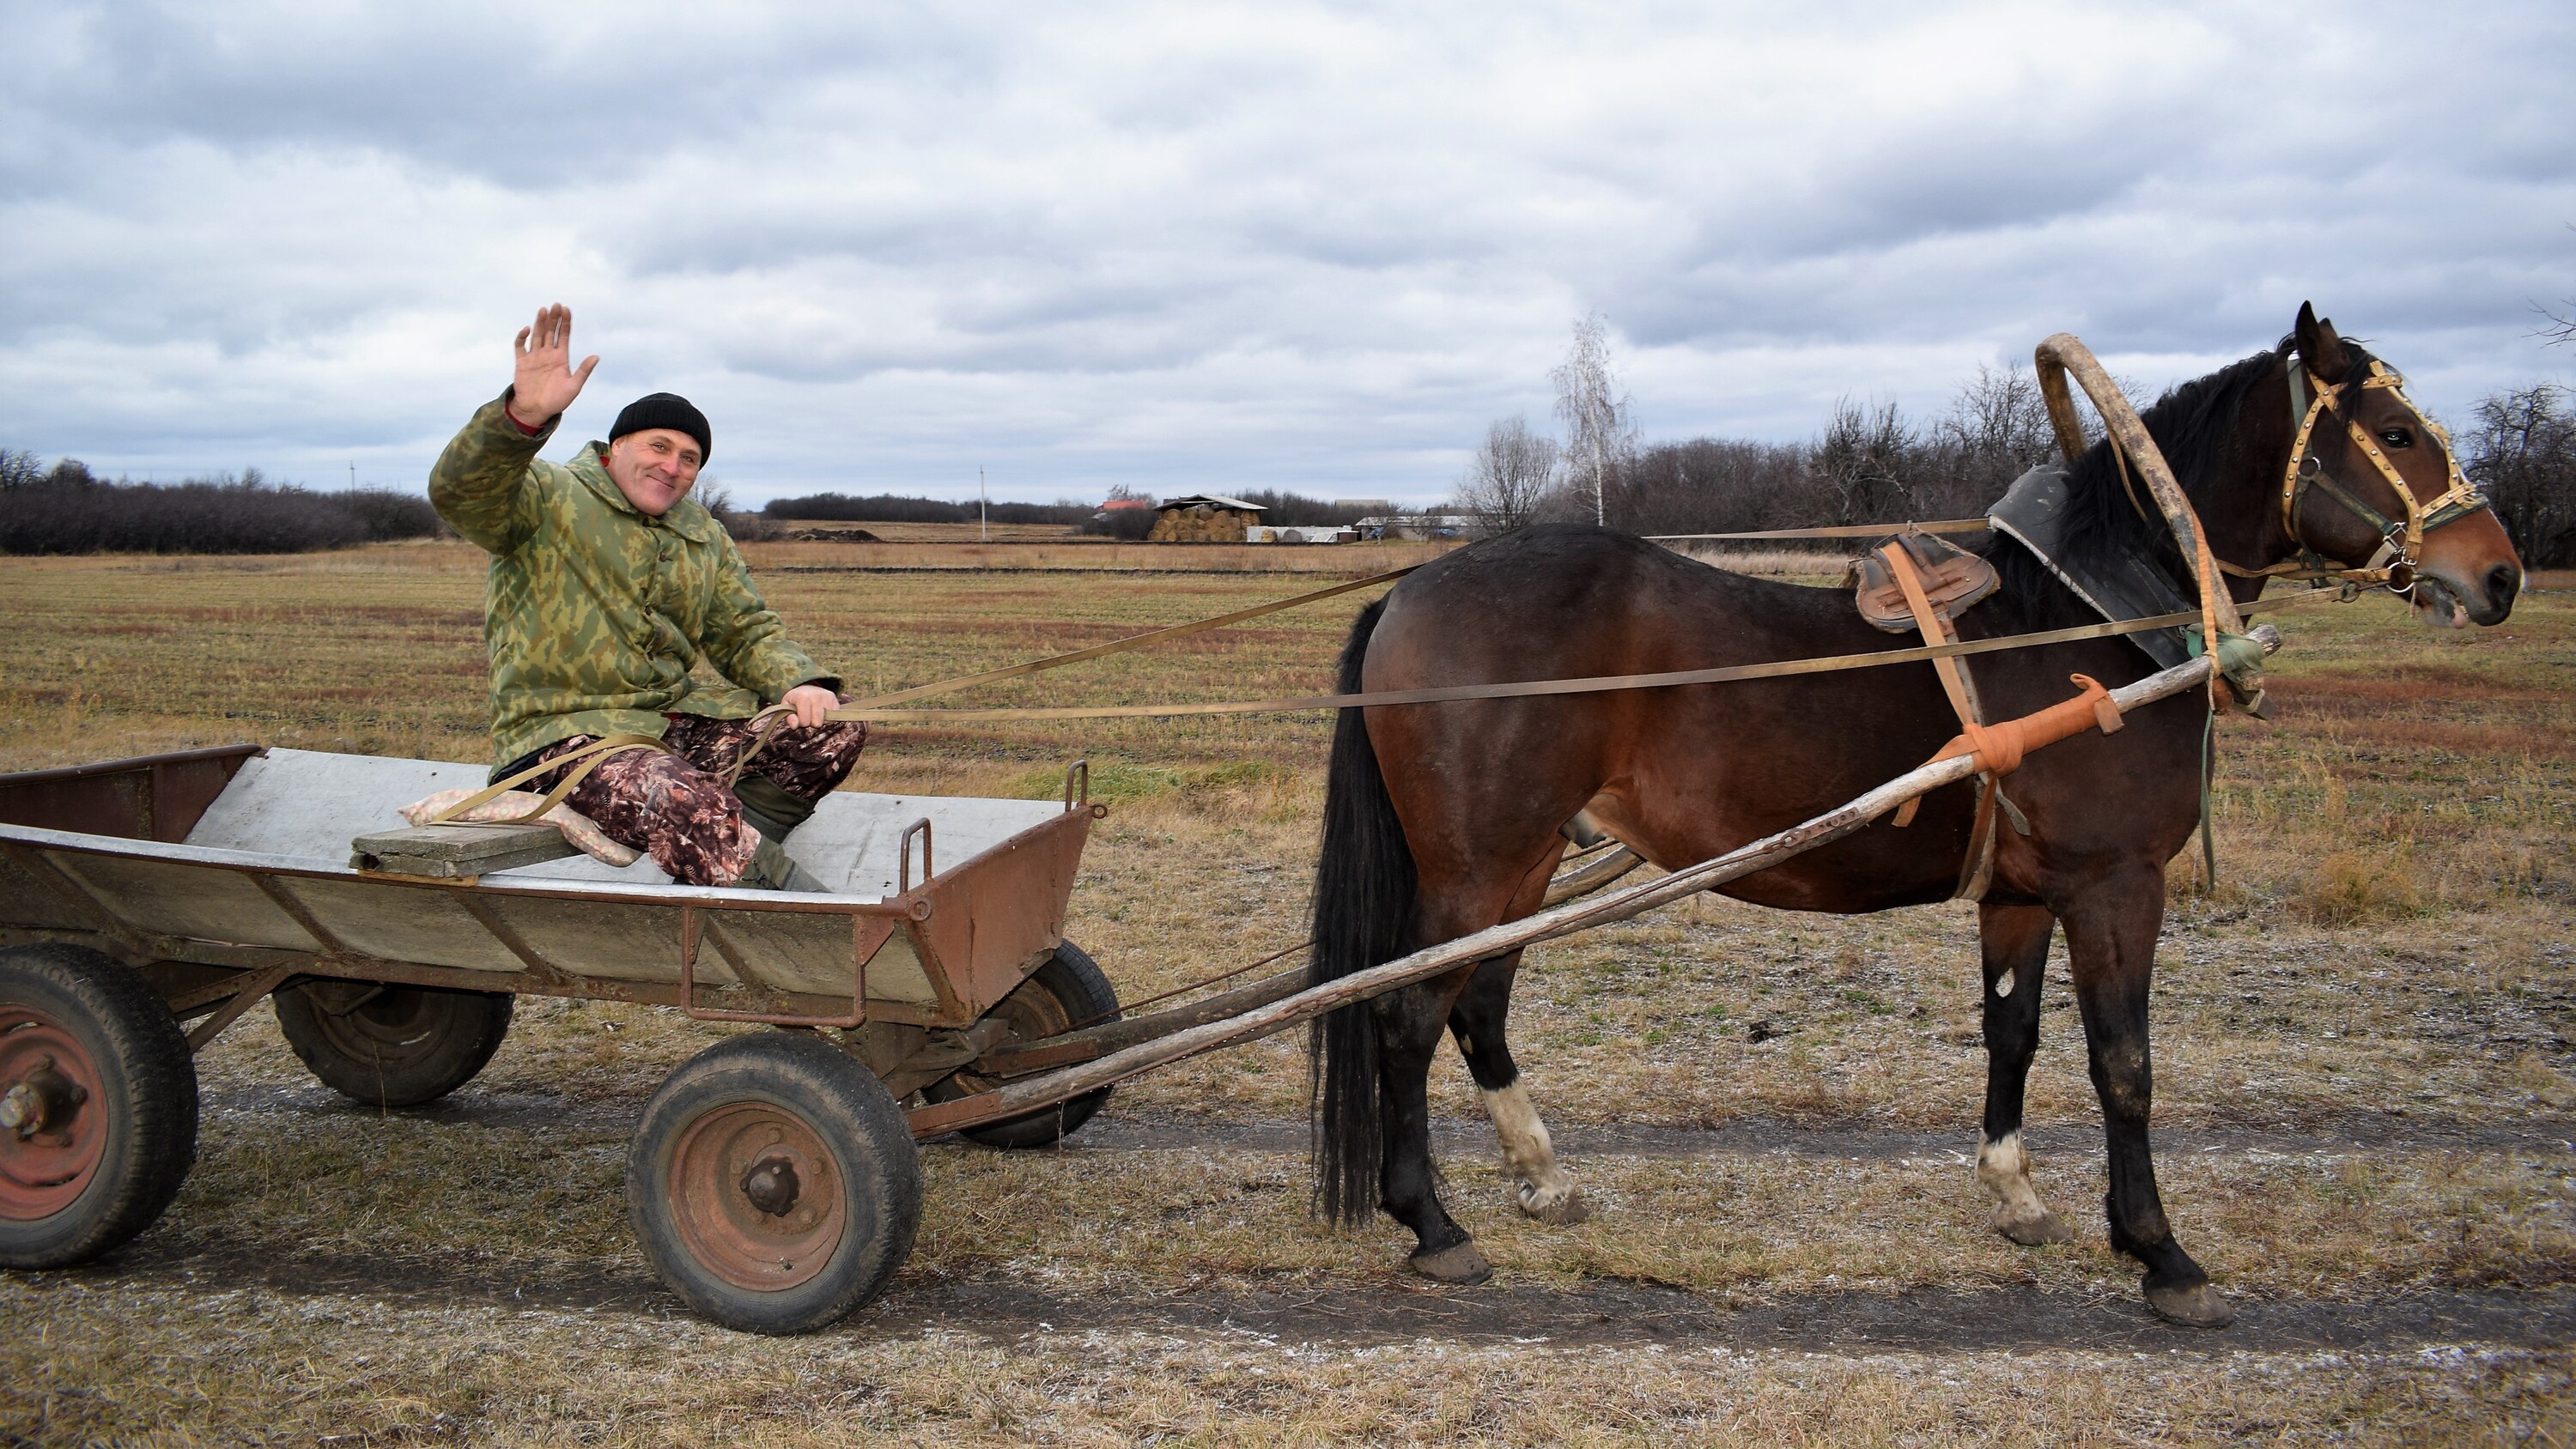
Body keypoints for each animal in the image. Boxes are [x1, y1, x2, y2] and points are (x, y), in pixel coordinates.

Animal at [1319, 306, 2524, 1328]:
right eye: (2398, 431)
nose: (2501, 575)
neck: (2086, 620)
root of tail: (1411, 588)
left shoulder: (2025, 893)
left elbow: (2014, 1032)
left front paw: (2015, 1192)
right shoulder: (2117, 885)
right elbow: (2124, 1063)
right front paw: (2158, 1249)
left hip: (1520, 867)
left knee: (1475, 1011)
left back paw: (1541, 1175)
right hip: (1478, 867)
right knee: (1406, 1017)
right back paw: (1430, 1221)